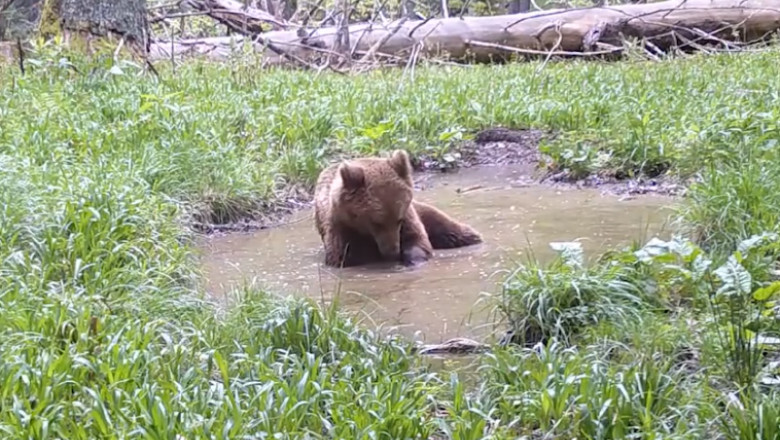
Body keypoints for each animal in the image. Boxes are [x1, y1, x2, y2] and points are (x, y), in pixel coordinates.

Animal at [310, 150, 482, 266]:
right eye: (376, 222)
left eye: (398, 219)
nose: (392, 251)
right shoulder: (341, 228)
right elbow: (345, 256)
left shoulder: (408, 215)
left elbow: (418, 240)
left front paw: (412, 260)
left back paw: (470, 236)